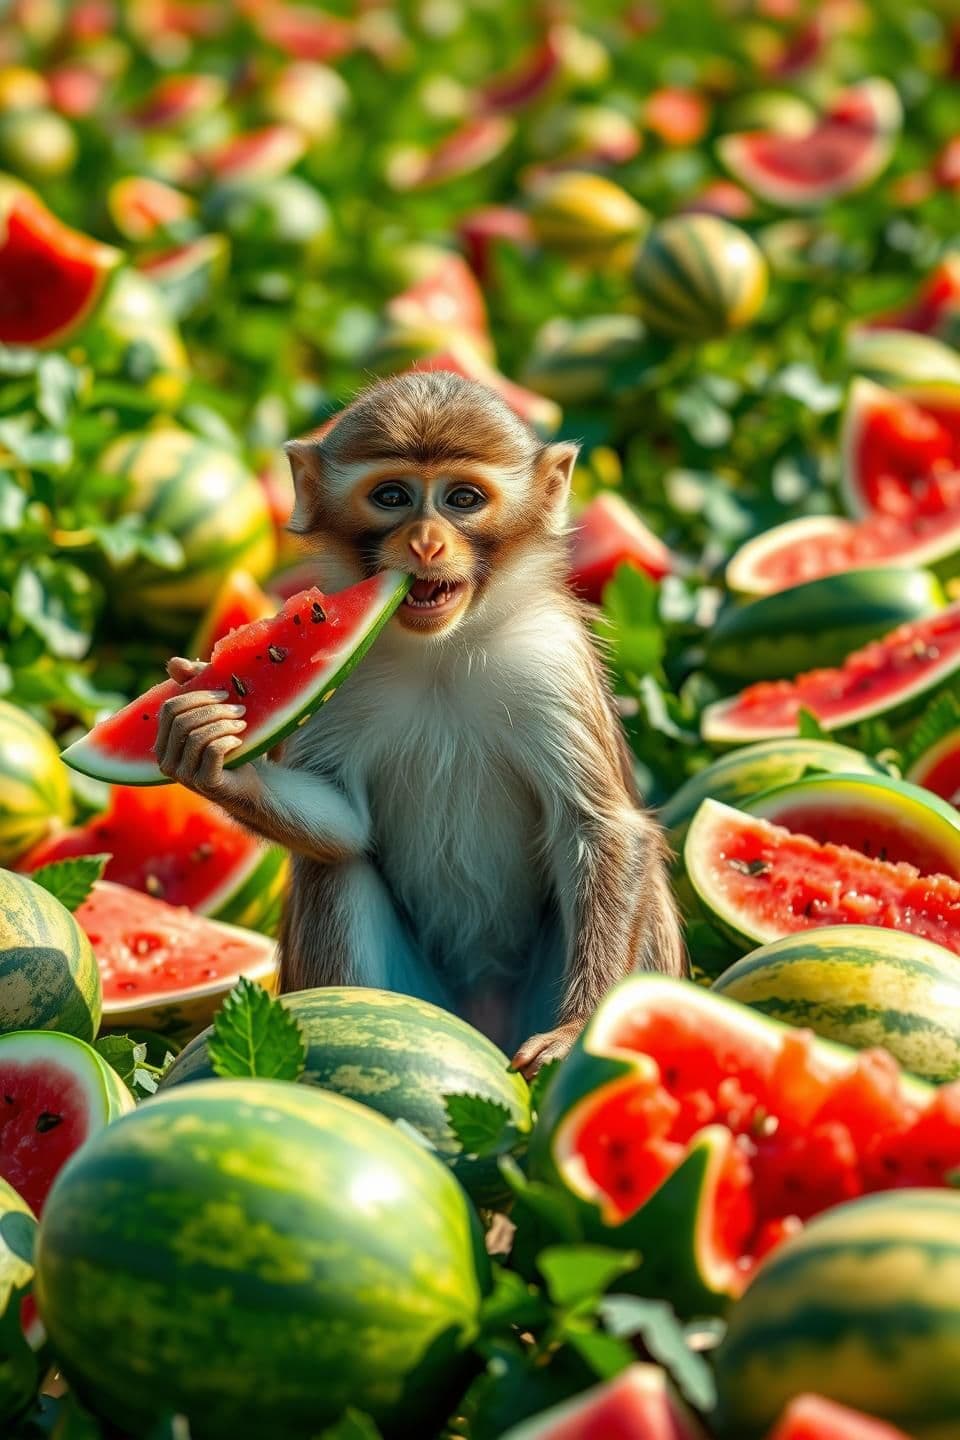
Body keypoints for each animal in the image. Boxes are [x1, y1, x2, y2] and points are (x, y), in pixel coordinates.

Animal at [155, 369, 686, 1075]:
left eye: (463, 498)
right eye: (392, 496)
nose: (427, 541)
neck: (441, 652)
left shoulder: (550, 660)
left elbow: (601, 827)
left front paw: (577, 1030)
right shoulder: (344, 686)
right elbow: (348, 825)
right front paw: (211, 756)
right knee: (339, 870)